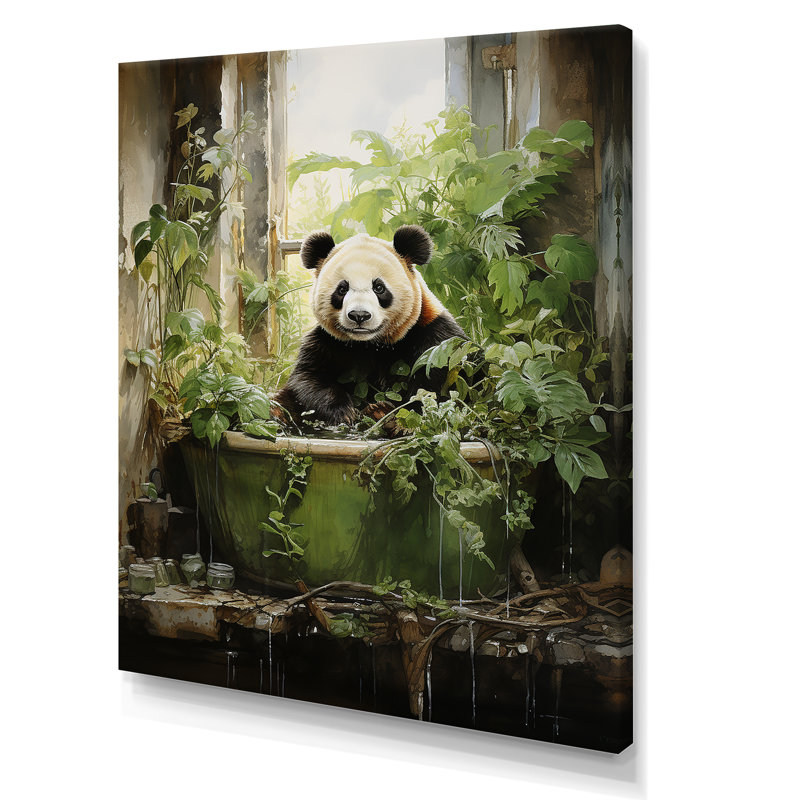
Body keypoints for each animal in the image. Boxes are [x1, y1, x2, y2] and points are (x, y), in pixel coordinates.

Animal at [273, 225, 466, 428]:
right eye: (342, 289)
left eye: (379, 287)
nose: (359, 315)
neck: (370, 344)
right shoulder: (327, 342)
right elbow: (307, 379)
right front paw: (343, 412)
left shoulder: (434, 336)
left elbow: (436, 383)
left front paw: (400, 420)